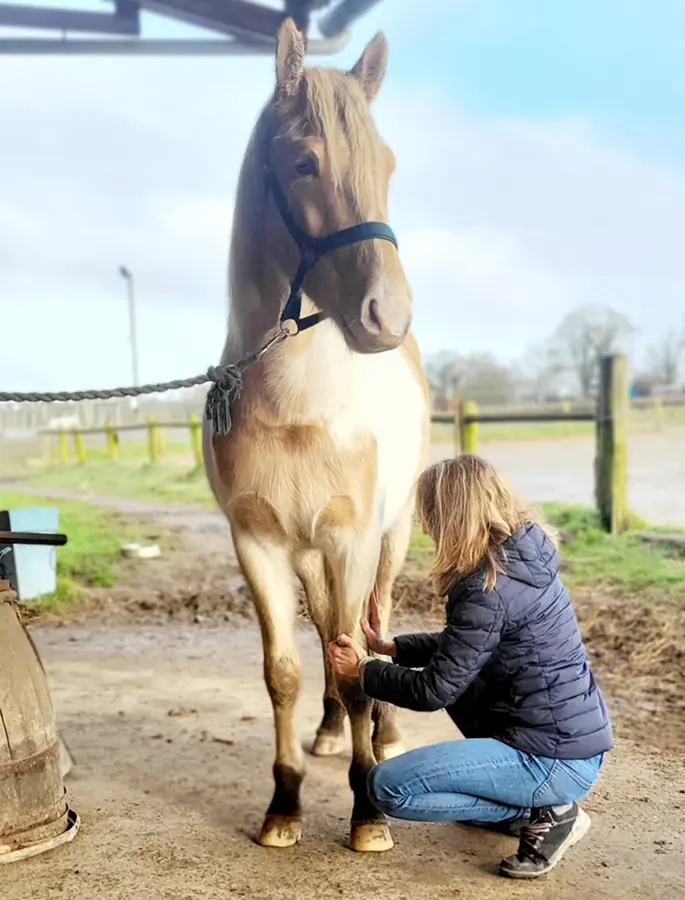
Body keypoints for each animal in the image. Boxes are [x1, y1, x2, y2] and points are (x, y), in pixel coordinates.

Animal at [203, 18, 430, 853]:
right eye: (303, 162)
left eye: (387, 164)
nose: (386, 316)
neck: (298, 403)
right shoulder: (260, 545)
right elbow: (287, 672)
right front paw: (284, 804)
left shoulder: (353, 539)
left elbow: (357, 659)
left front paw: (368, 814)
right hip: (307, 557)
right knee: (330, 638)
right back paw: (331, 732)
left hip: (388, 541)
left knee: (374, 625)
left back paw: (382, 736)